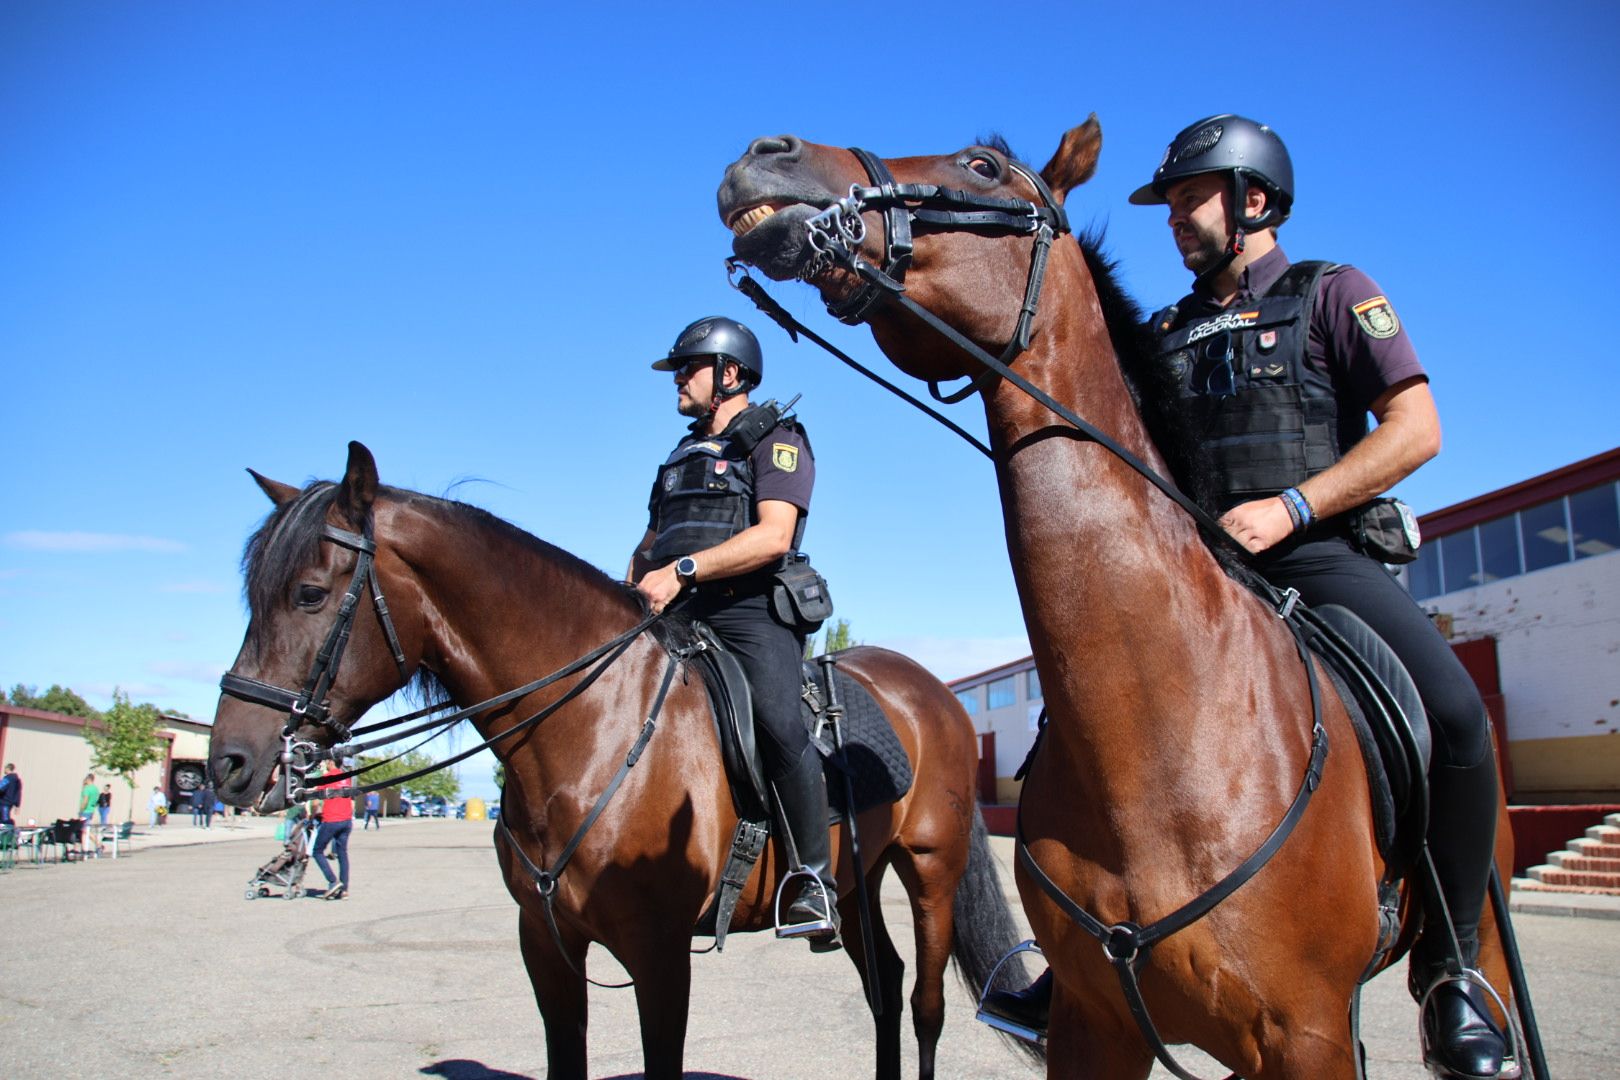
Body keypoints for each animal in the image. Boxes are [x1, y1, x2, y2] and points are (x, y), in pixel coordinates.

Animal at [208, 440, 1030, 1080]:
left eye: (309, 593)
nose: (229, 765)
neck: (591, 730)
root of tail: (933, 692)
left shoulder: (659, 955)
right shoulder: (547, 947)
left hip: (930, 870)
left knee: (924, 1006)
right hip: (858, 875)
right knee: (884, 988)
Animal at [716, 120, 1522, 1080]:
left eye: (983, 167)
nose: (764, 155)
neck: (1162, 747)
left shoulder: (1307, 1037)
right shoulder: (1094, 1027)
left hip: (1479, 929)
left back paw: (1466, 1018)